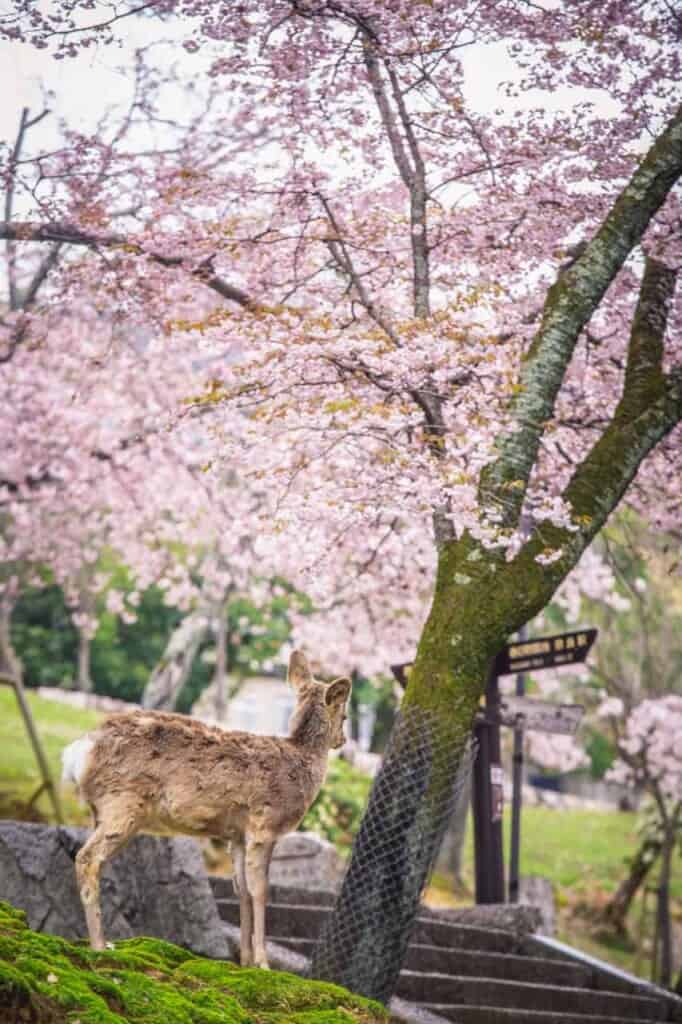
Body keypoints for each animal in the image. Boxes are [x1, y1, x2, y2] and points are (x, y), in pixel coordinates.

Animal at [61, 650, 351, 969]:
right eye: (345, 715)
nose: (343, 740)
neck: (300, 764)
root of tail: (77, 753)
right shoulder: (264, 824)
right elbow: (261, 890)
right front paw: (263, 963)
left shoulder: (237, 836)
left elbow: (242, 890)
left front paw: (245, 962)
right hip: (122, 804)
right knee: (87, 858)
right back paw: (100, 945)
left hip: (101, 810)